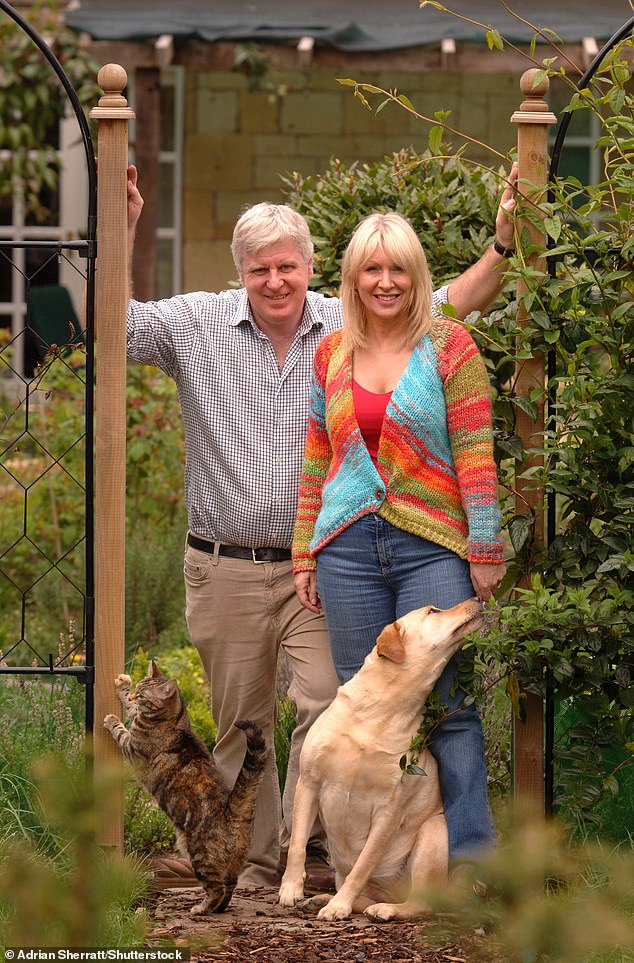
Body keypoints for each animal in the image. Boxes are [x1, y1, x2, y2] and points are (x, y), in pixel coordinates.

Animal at [102, 660, 266, 916]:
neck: (174, 719)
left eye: (143, 694)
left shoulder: (132, 746)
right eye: (138, 688)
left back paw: (201, 909)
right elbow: (130, 708)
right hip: (231, 864)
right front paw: (123, 685)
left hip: (198, 855)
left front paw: (112, 720)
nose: (134, 694)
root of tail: (232, 811)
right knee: (230, 887)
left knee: (217, 889)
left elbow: (122, 729)